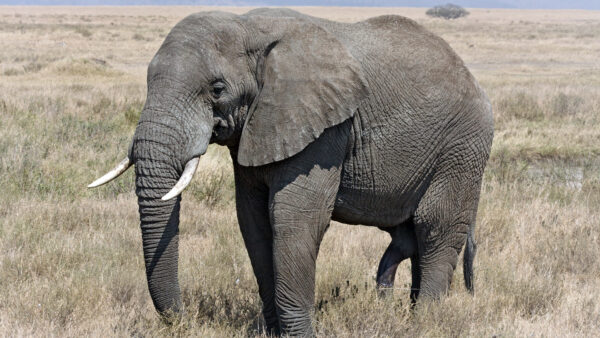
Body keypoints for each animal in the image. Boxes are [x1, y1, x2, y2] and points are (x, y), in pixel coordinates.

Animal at [88, 7, 492, 336]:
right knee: (410, 237)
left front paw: (299, 334)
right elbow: (253, 220)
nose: (183, 320)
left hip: (462, 148)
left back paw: (424, 323)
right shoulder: (257, 128)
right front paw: (271, 332)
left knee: (434, 228)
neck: (248, 27)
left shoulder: (325, 129)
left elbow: (293, 218)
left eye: (217, 89)